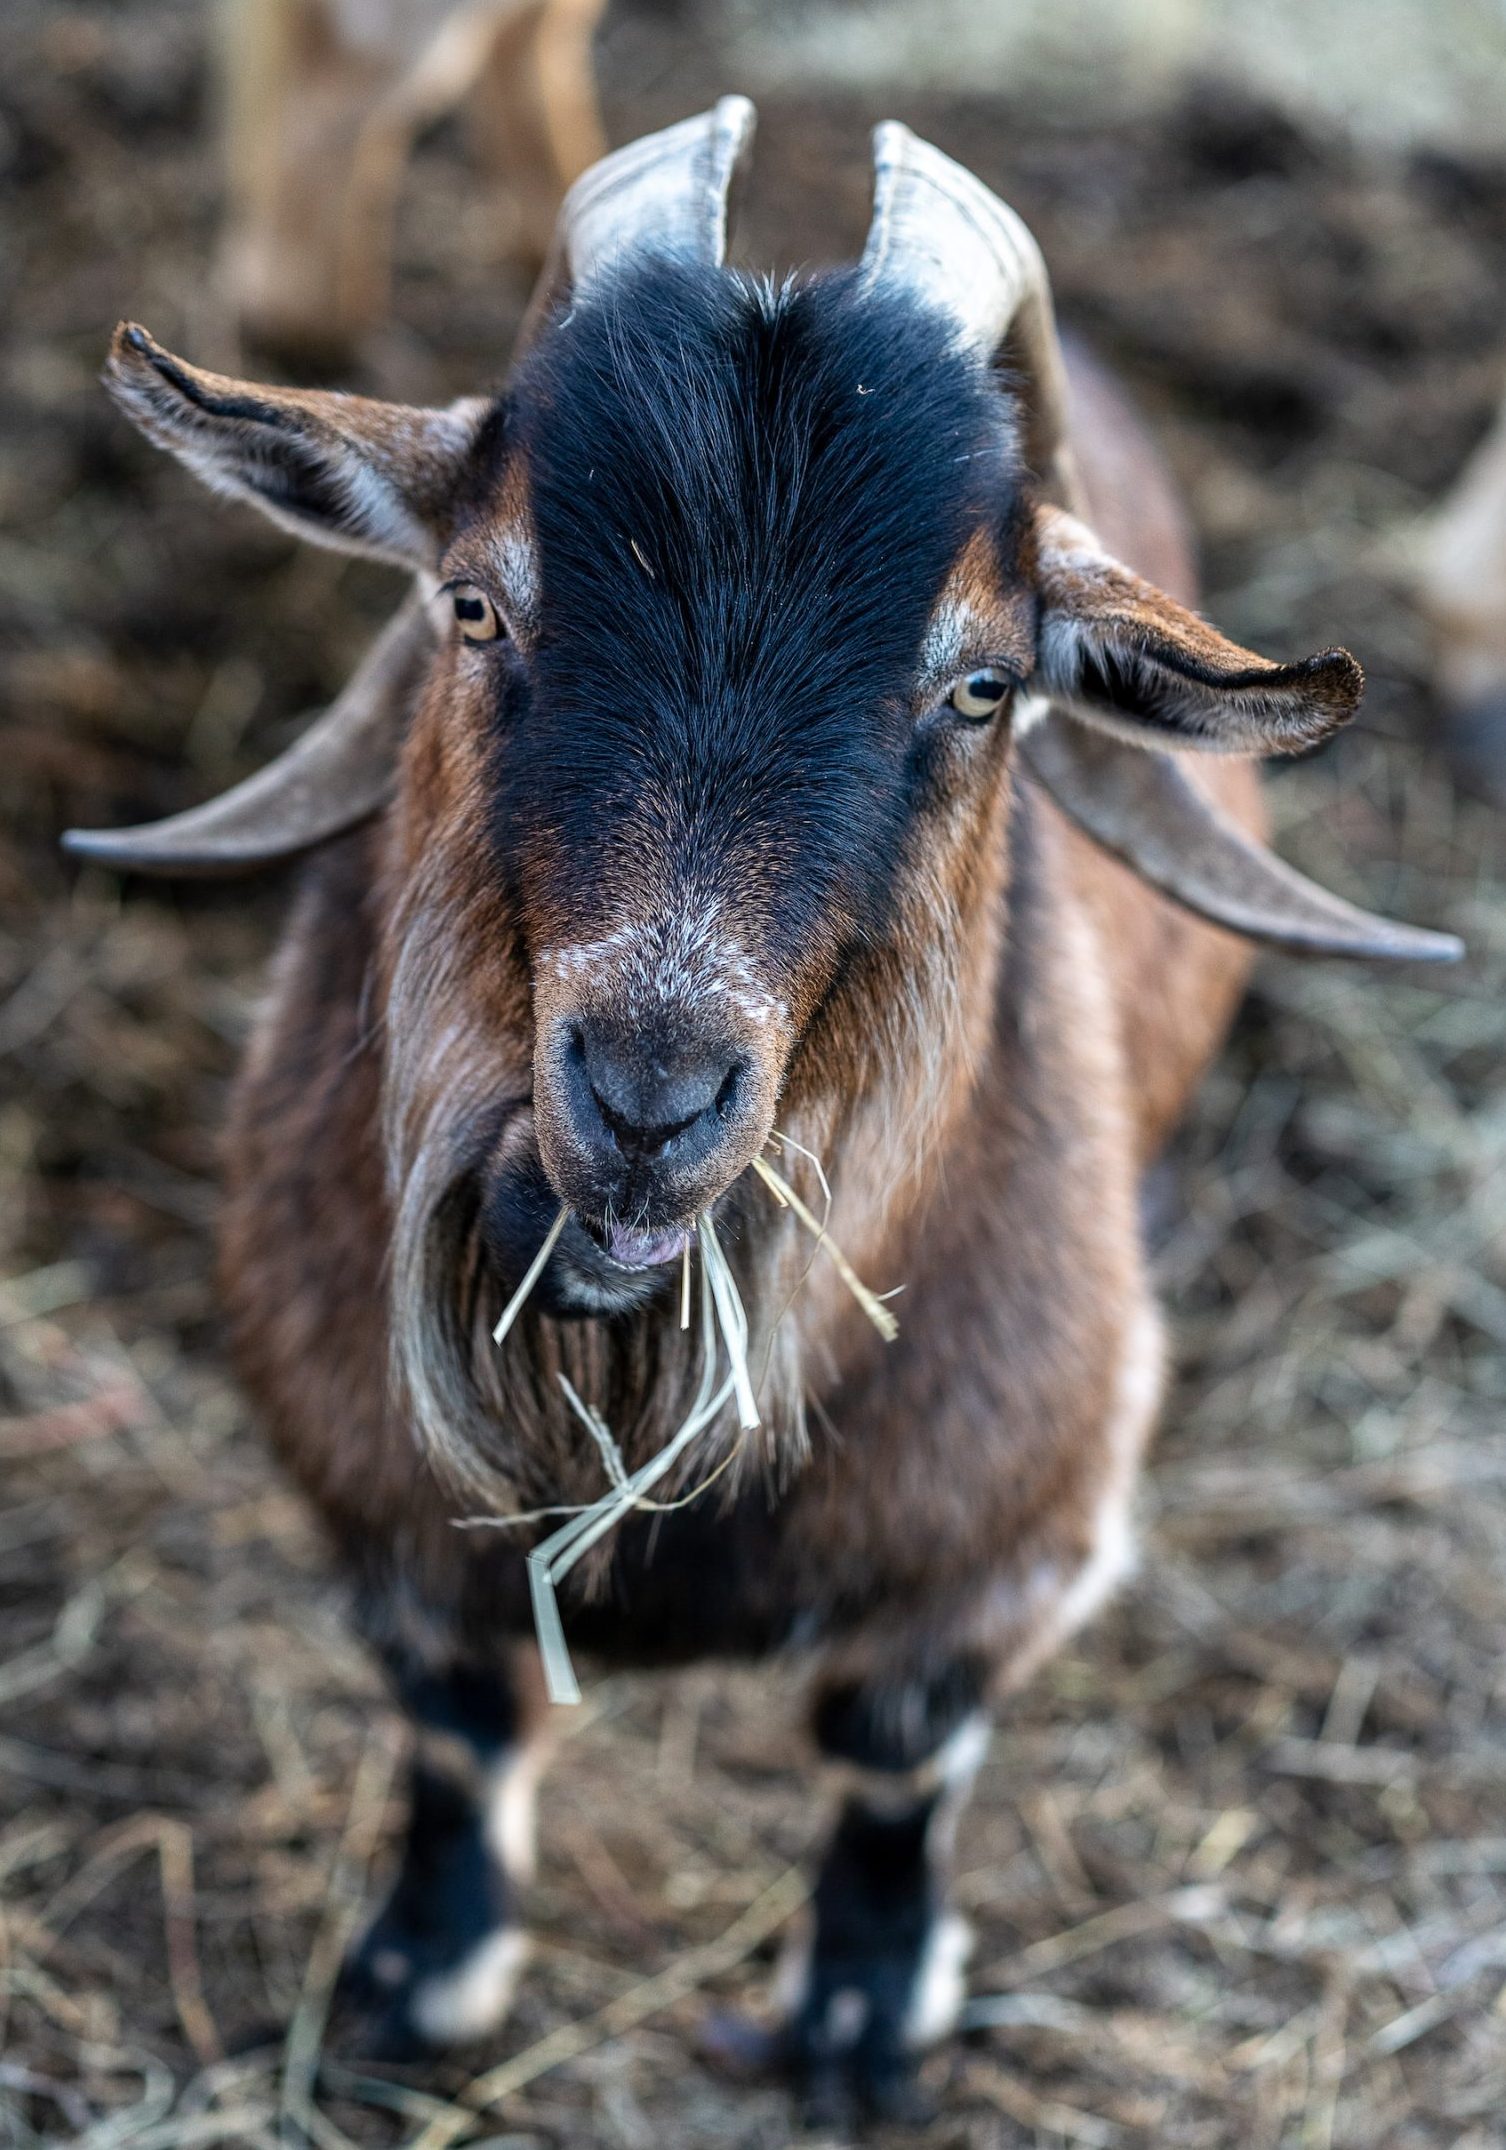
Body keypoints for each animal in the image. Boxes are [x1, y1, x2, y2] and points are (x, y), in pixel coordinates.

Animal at [73, 96, 1462, 2115]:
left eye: (982, 682)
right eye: (474, 602)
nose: (649, 1094)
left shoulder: (1022, 1515)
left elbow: (893, 1743)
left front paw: (863, 2026)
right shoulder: (367, 1501)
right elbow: (457, 1718)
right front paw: (417, 1987)